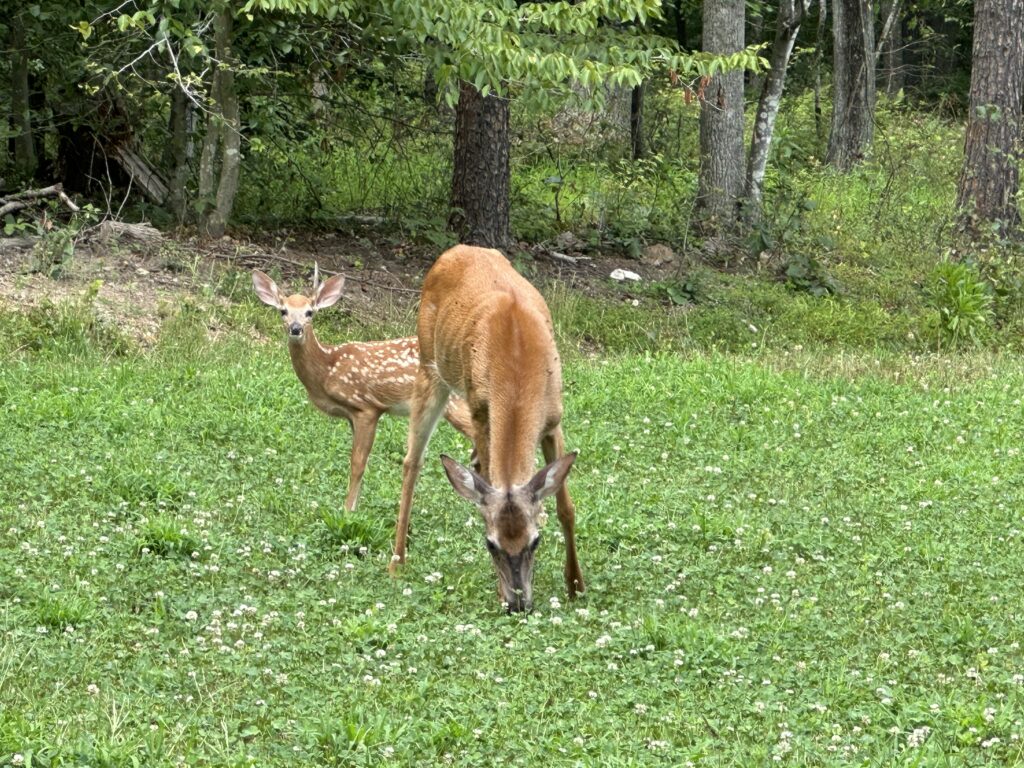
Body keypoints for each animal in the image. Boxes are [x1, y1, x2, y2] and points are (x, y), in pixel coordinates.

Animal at [251, 268, 475, 514]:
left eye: (309, 312)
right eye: (283, 311)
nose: (296, 329)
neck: (327, 368)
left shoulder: (367, 407)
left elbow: (358, 462)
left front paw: (348, 509)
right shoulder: (351, 414)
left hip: (455, 403)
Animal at [391, 246, 585, 614]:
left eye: (535, 541)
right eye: (490, 544)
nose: (518, 603)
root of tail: (458, 249)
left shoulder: (554, 418)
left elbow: (565, 508)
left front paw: (576, 585)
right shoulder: (482, 410)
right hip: (428, 367)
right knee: (413, 461)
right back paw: (397, 559)